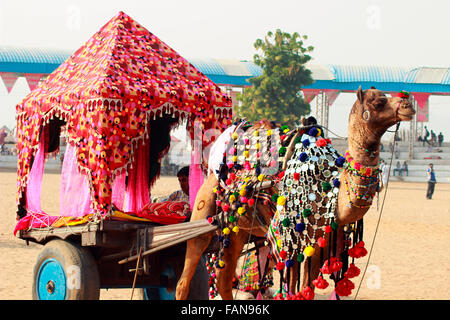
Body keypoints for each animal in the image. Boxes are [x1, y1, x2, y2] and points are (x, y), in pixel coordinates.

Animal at [175, 87, 414, 300]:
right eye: (378, 101)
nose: (408, 104)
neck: (332, 188)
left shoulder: (319, 244)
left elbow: (307, 290)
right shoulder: (288, 242)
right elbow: (291, 291)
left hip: (236, 229)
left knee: (224, 281)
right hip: (205, 208)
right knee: (186, 277)